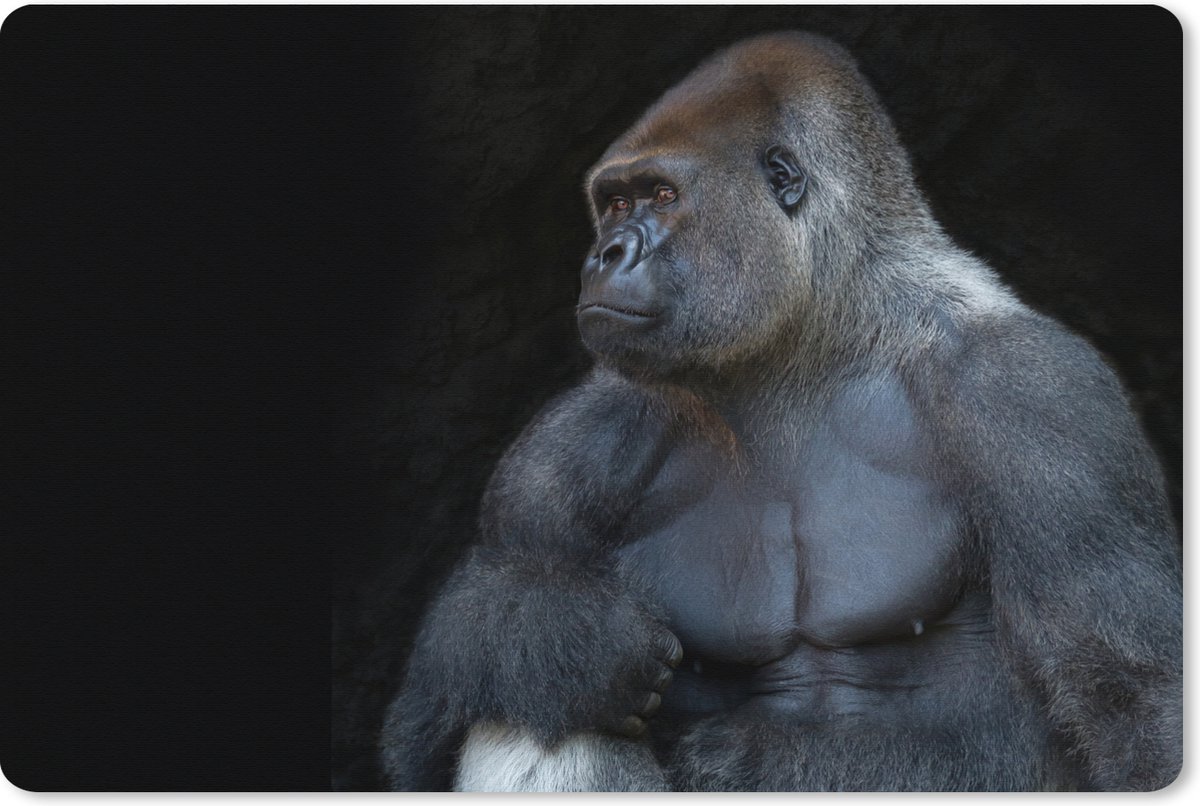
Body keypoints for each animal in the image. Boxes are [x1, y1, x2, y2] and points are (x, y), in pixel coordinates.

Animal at [378, 31, 1182, 791]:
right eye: (614, 203)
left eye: (662, 196)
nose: (602, 254)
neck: (813, 340)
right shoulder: (561, 459)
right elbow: (427, 726)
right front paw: (559, 639)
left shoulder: (1037, 400)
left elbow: (1135, 706)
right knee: (533, 712)